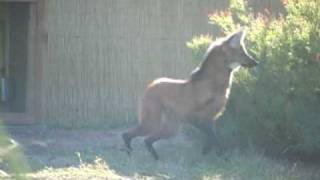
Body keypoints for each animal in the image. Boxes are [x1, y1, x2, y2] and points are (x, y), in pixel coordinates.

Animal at [122, 27, 258, 160]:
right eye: (243, 53)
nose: (256, 62)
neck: (213, 84)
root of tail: (151, 84)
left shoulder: (208, 120)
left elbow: (212, 139)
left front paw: (207, 155)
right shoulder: (197, 119)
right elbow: (215, 139)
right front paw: (222, 158)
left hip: (171, 128)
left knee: (147, 140)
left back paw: (154, 158)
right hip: (153, 123)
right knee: (128, 134)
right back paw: (131, 154)